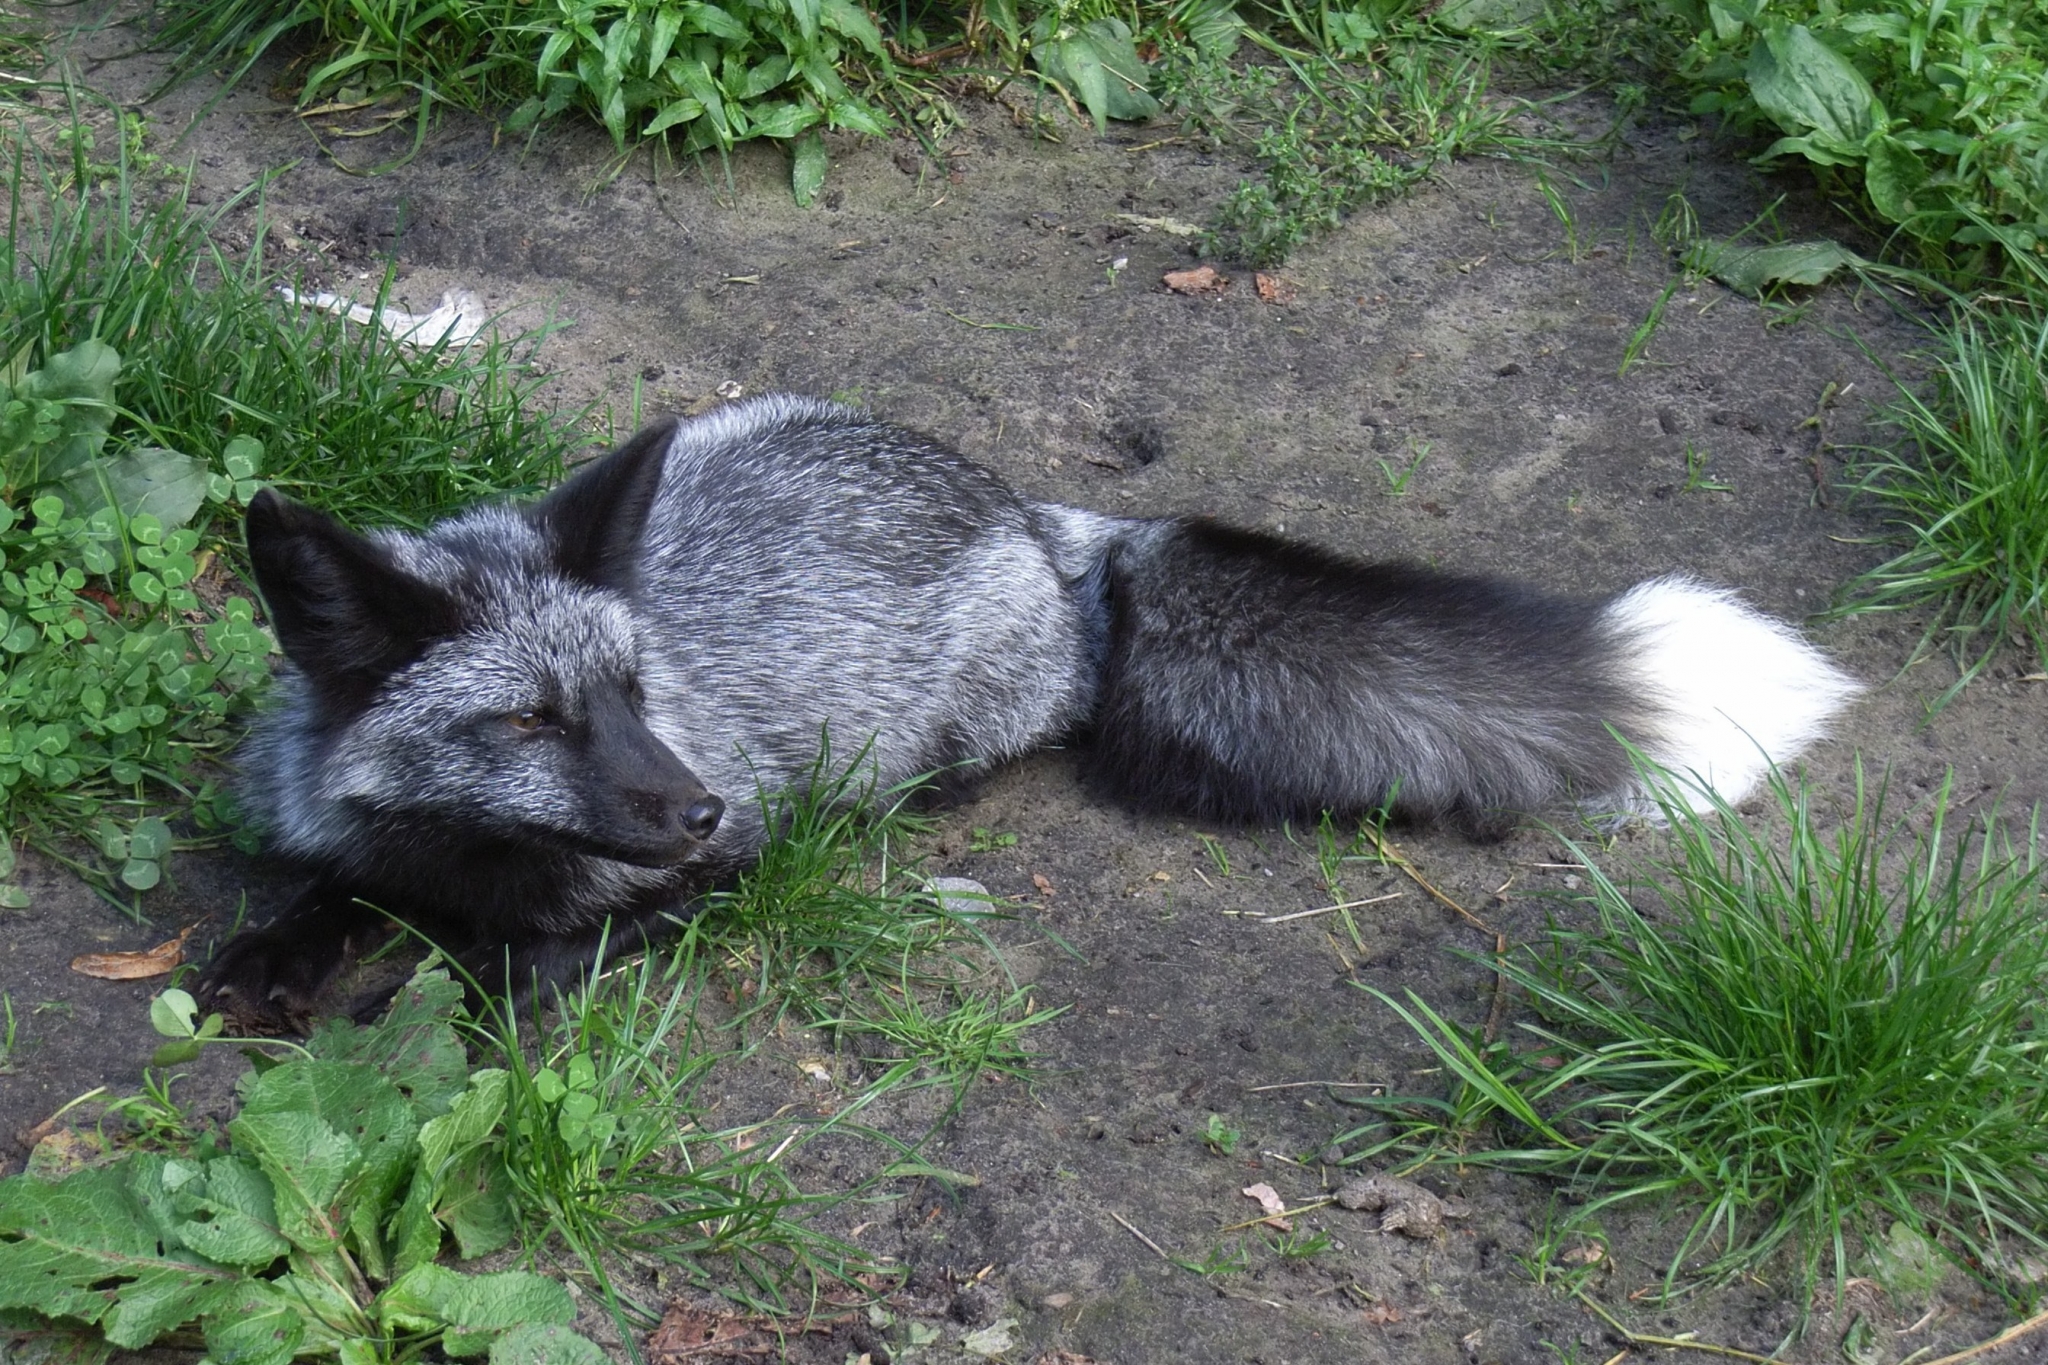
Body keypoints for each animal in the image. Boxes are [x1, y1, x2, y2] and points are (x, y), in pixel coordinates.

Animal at [202, 394, 1860, 1023]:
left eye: (629, 692)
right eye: (530, 722)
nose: (696, 803)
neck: (472, 856)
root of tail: (1049, 519)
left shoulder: (720, 862)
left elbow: (571, 941)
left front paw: (486, 989)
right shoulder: (359, 827)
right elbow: (326, 880)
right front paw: (278, 950)